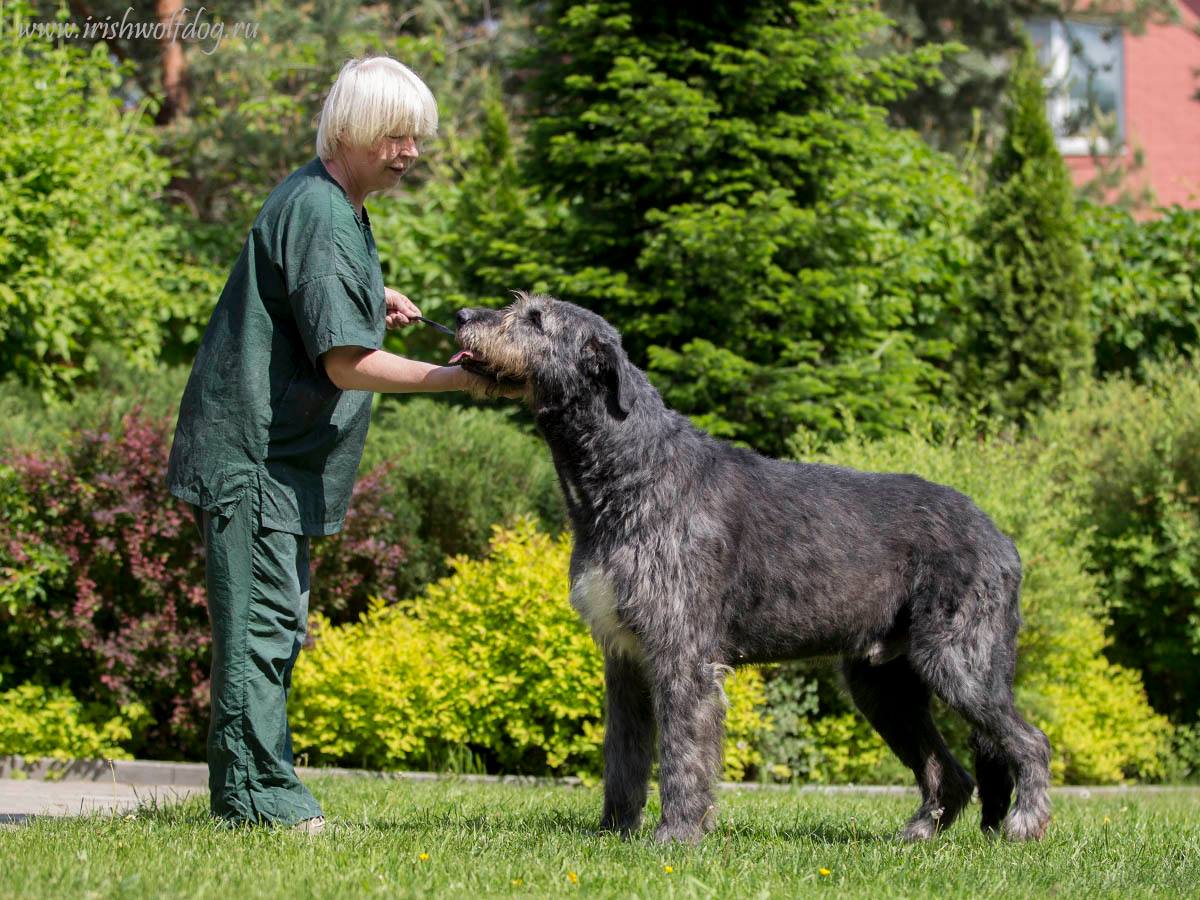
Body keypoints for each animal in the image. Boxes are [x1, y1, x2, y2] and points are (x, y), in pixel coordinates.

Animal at [453, 294, 1056, 844]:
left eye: (535, 319)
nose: (460, 316)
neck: (631, 468)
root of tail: (1000, 538)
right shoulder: (624, 658)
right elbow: (623, 756)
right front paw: (613, 833)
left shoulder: (683, 654)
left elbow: (684, 754)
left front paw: (675, 837)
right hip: (883, 683)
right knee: (949, 770)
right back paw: (919, 834)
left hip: (959, 658)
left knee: (1030, 741)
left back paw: (1024, 825)